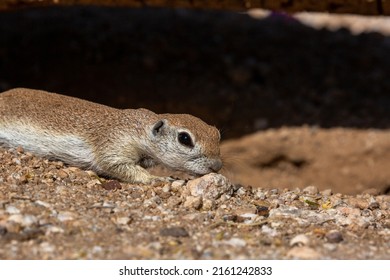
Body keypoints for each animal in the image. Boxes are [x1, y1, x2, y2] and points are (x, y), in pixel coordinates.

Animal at [0, 87, 222, 184]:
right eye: (184, 139)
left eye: (217, 134)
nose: (217, 166)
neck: (138, 128)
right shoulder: (115, 144)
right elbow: (114, 165)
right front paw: (158, 179)